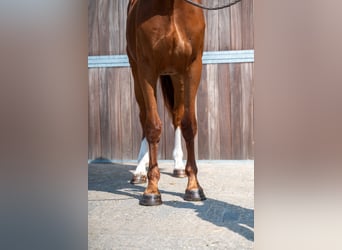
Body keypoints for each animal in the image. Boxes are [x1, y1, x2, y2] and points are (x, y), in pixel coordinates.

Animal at [126, 0, 204, 205]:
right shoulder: (147, 69)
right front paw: (151, 190)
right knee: (144, 117)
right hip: (136, 73)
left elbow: (189, 125)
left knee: (177, 117)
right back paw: (139, 171)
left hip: (176, 77)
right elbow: (153, 126)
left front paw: (194, 187)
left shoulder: (192, 67)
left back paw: (178, 167)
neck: (171, 8)